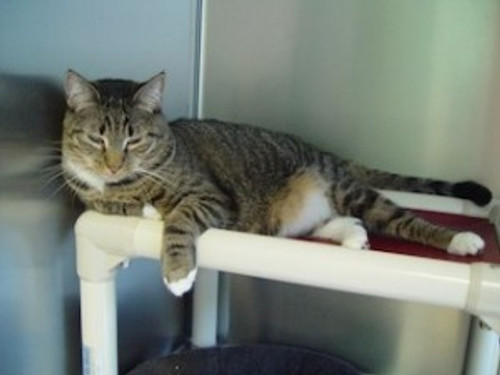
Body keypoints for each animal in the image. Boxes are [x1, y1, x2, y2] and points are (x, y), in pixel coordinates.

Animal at [61, 70, 492, 296]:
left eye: (133, 140)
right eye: (97, 139)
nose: (113, 165)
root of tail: (322, 150)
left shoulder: (210, 197)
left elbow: (179, 220)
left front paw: (179, 272)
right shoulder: (96, 197)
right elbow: (120, 205)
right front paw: (138, 207)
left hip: (347, 190)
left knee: (401, 219)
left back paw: (459, 239)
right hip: (297, 217)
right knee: (327, 223)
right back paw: (353, 234)